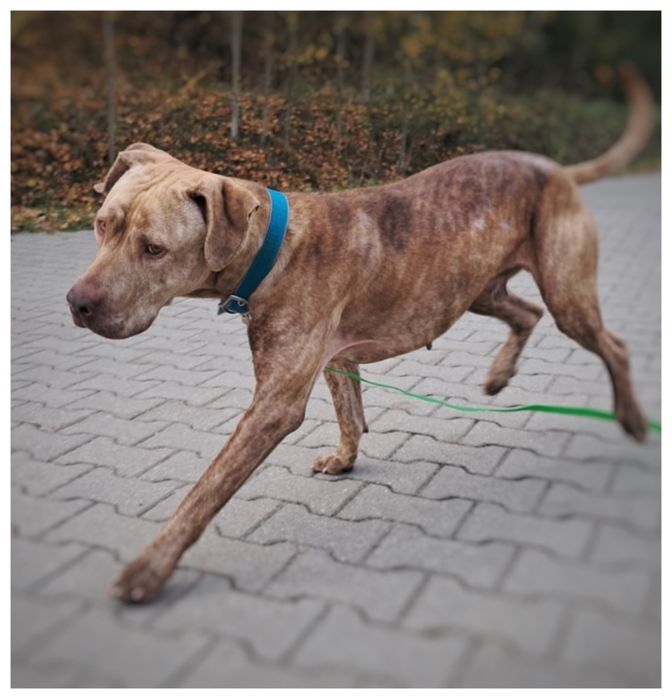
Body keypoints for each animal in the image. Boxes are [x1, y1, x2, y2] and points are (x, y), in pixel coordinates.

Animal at [67, 64, 653, 603]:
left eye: (153, 249)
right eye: (101, 225)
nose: (78, 303)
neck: (271, 247)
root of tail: (554, 168)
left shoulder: (273, 405)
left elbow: (205, 490)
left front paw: (152, 564)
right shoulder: (334, 357)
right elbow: (349, 411)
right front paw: (345, 459)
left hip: (566, 293)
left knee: (612, 344)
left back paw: (631, 418)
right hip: (478, 288)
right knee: (527, 314)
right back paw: (499, 374)